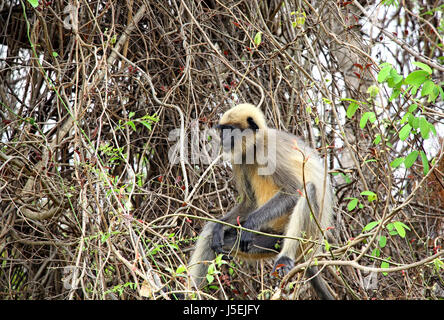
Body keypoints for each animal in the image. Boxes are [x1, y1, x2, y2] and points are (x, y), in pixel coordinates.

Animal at [186, 103, 332, 300]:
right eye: (222, 130)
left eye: (229, 130)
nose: (223, 139)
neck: (255, 146)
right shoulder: (241, 158)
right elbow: (249, 203)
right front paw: (219, 226)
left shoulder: (270, 150)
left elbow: (293, 190)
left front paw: (251, 223)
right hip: (269, 242)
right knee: (211, 232)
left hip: (308, 238)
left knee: (308, 189)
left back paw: (285, 258)